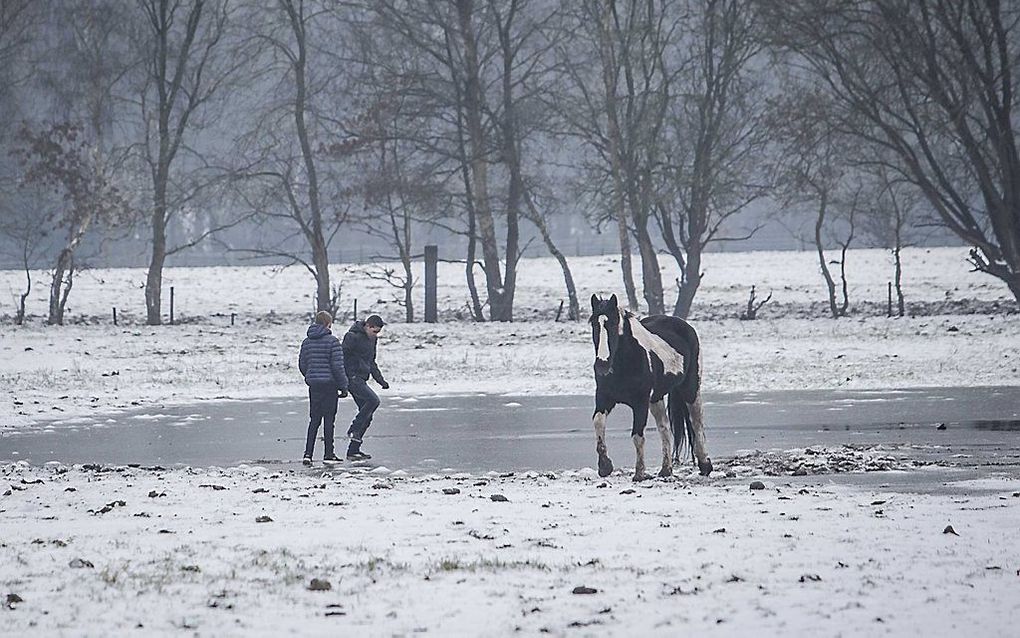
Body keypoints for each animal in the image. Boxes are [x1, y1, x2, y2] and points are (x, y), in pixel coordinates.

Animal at [587, 293, 714, 477]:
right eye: (594, 324)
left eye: (612, 323)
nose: (602, 365)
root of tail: (683, 324)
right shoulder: (604, 398)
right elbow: (598, 422)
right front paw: (604, 466)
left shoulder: (640, 402)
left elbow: (637, 436)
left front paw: (639, 473)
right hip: (656, 398)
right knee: (664, 427)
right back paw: (666, 469)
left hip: (690, 389)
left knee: (697, 422)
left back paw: (705, 464)